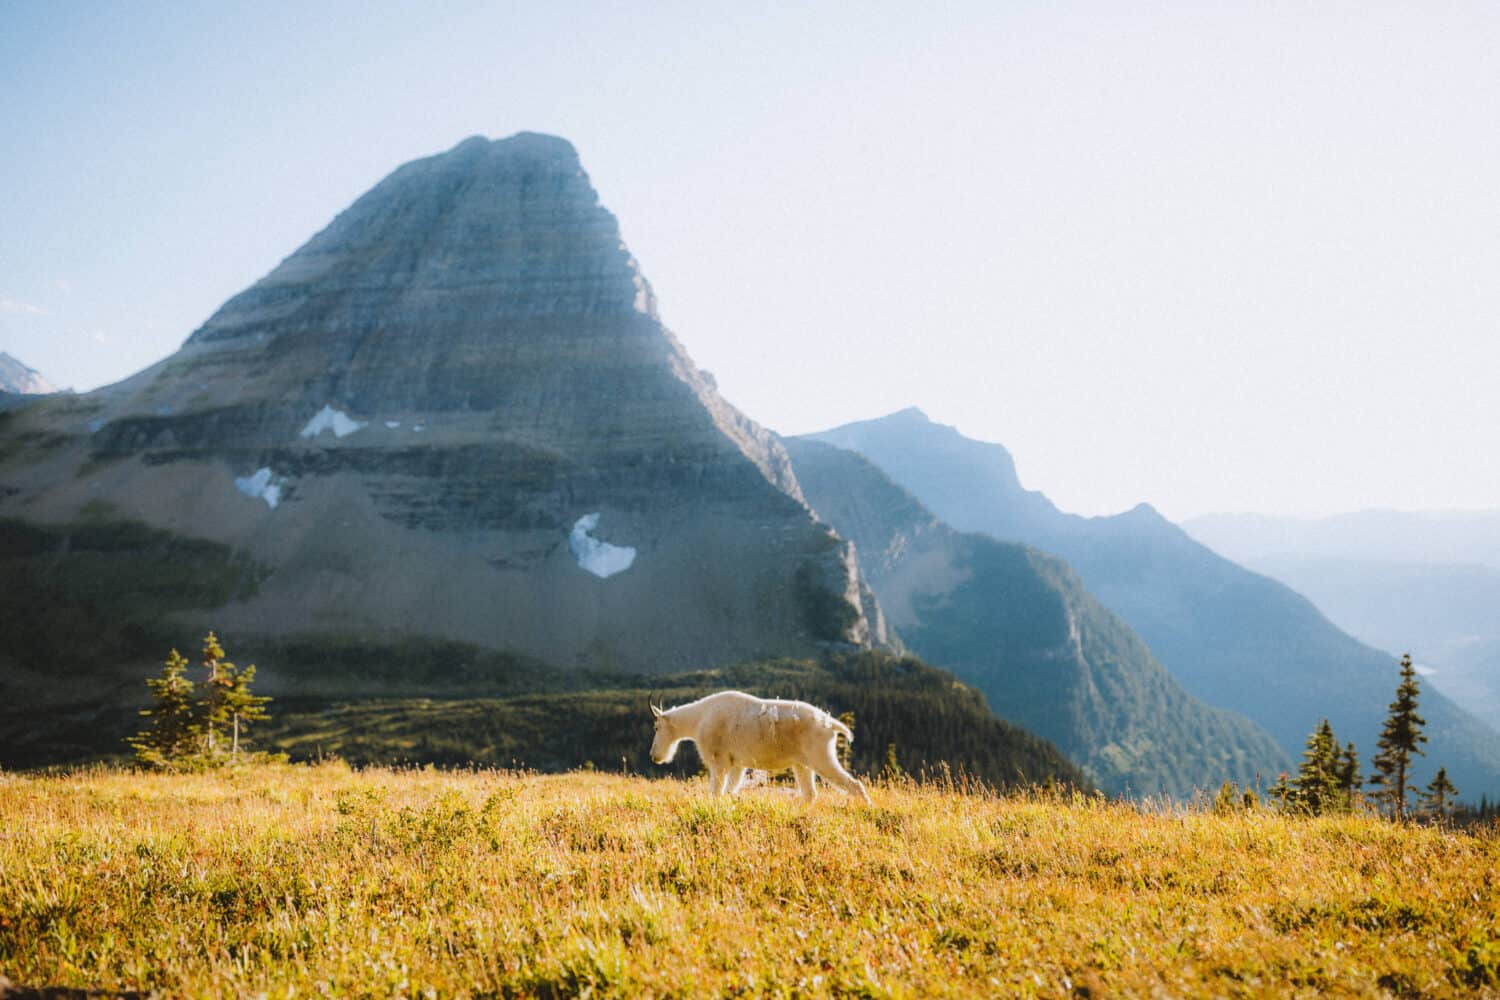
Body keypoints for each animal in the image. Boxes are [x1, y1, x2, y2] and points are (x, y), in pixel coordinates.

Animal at [645, 689, 870, 803]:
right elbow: (730, 790)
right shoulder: (736, 764)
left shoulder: (719, 761)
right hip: (802, 763)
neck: (699, 718)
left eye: (656, 727)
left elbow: (716, 792)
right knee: (810, 794)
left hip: (820, 756)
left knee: (854, 785)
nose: (654, 756)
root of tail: (830, 724)